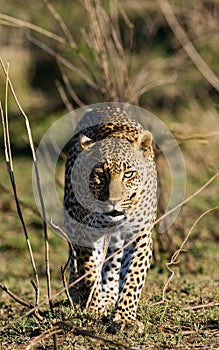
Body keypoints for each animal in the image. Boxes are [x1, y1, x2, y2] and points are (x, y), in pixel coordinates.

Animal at [63, 104, 157, 334]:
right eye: (100, 174)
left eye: (128, 174)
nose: (114, 202)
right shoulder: (87, 231)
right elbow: (88, 271)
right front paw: (93, 308)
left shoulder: (140, 235)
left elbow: (133, 276)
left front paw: (124, 318)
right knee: (75, 261)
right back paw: (78, 296)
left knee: (113, 264)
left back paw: (109, 297)